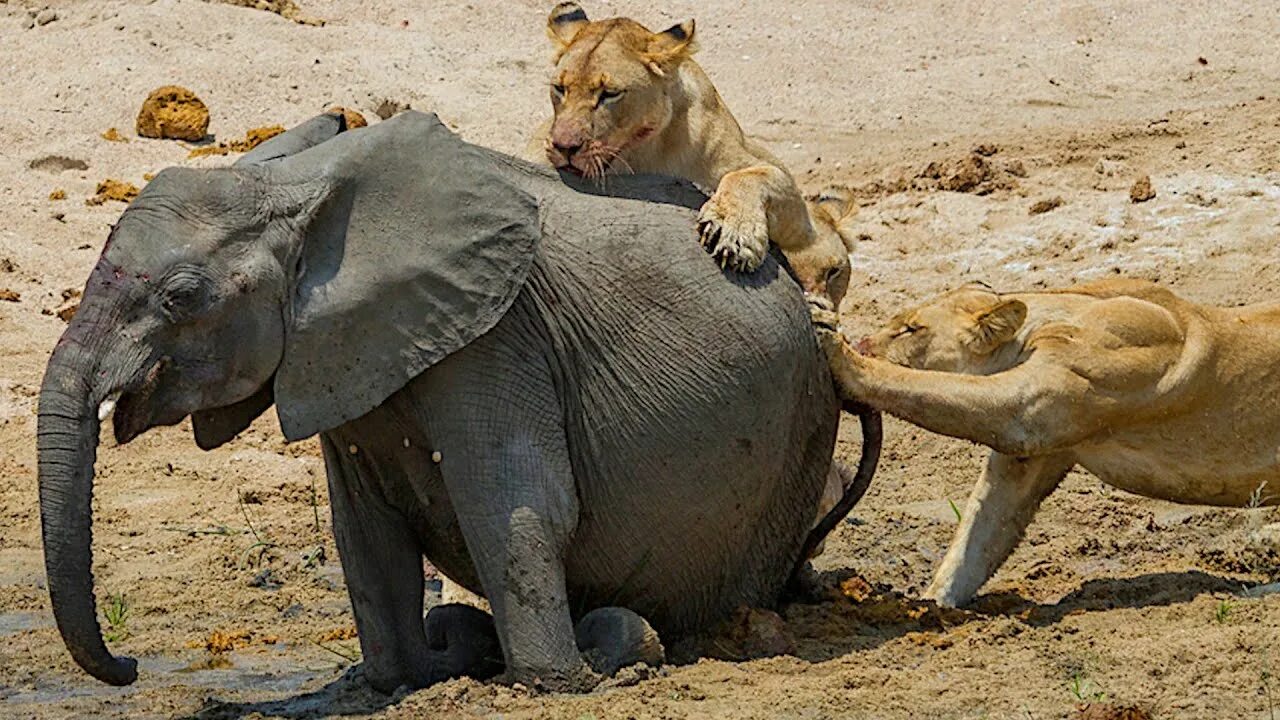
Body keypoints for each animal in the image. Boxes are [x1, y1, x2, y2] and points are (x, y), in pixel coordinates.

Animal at [40, 110, 880, 691]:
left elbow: (511, 505)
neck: (299, 187)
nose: (130, 667)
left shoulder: (499, 337)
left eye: (183, 297)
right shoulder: (341, 357)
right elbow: (366, 536)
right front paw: (405, 676)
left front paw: (557, 683)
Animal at [535, 2, 855, 304]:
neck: (642, 152)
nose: (564, 146)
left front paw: (733, 233)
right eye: (559, 89)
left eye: (610, 93)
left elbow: (750, 176)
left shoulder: (793, 209)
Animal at [814, 279, 1280, 604]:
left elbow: (922, 384)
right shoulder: (1024, 462)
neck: (1056, 315)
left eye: (912, 329)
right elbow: (974, 543)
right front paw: (934, 604)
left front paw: (836, 345)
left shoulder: (1029, 407)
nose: (861, 341)